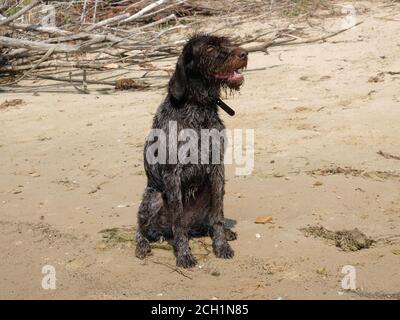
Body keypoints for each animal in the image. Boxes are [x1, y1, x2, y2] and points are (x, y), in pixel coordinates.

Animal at [134, 33, 247, 268]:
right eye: (210, 48)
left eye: (226, 42)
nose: (244, 53)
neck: (198, 108)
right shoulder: (172, 174)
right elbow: (178, 222)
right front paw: (184, 254)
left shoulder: (217, 170)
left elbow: (218, 216)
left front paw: (221, 244)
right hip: (153, 197)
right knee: (142, 228)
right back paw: (143, 246)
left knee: (208, 221)